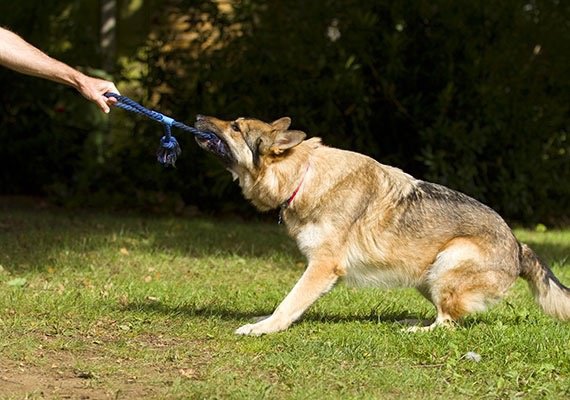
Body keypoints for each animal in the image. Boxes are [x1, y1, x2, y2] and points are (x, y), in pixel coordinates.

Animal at [193, 115, 564, 334]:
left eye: (236, 127)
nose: (197, 117)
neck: (303, 176)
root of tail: (519, 247)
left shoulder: (322, 268)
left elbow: (289, 303)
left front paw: (264, 328)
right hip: (425, 277)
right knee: (445, 315)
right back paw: (412, 319)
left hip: (448, 262)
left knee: (447, 324)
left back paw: (416, 331)